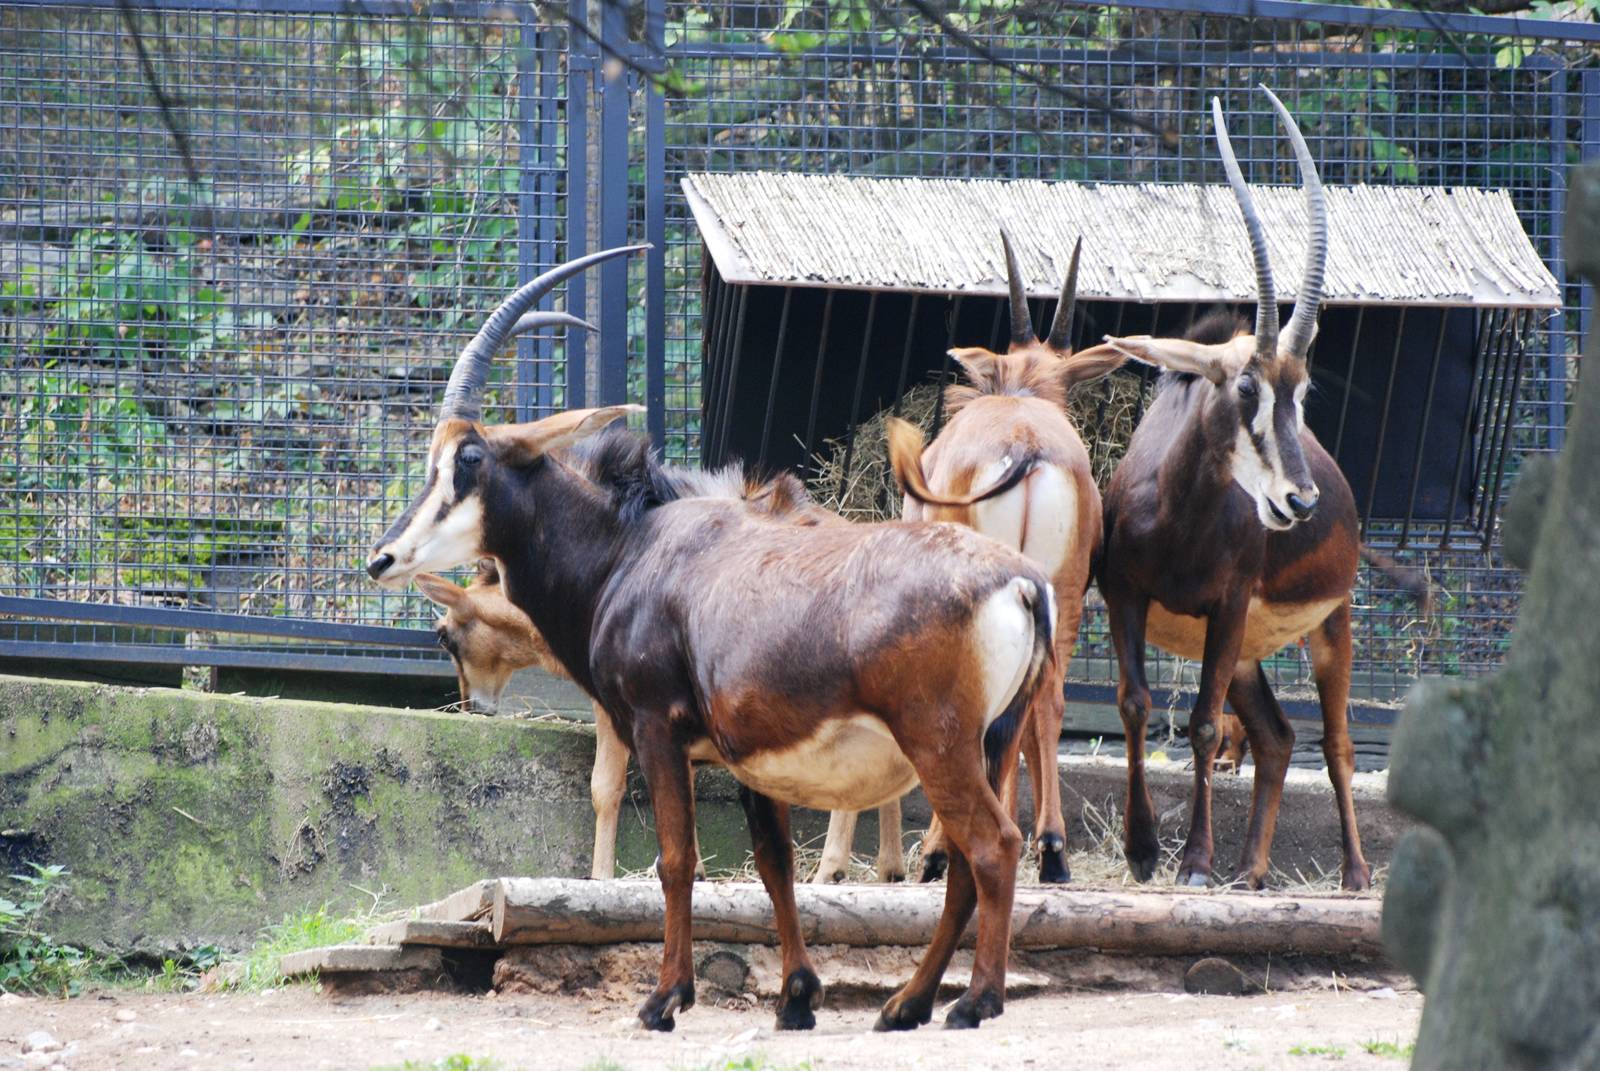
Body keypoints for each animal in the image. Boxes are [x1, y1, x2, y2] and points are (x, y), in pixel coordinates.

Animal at [367, 247, 1057, 1032]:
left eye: (470, 460)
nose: (382, 558)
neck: (628, 548)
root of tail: (1020, 582)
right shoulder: (751, 760)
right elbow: (773, 863)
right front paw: (797, 997)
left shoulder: (655, 726)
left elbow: (676, 858)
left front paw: (665, 997)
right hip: (992, 741)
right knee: (966, 864)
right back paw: (906, 1003)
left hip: (939, 742)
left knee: (993, 846)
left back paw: (974, 1000)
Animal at [1080, 87, 1375, 890]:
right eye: (1245, 385)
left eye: (1302, 389)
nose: (1299, 502)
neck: (1178, 519)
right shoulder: (1126, 594)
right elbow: (1135, 703)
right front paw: (1143, 848)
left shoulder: (1228, 603)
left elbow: (1205, 724)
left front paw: (1193, 862)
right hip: (1249, 651)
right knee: (1276, 737)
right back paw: (1252, 870)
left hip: (1325, 624)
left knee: (1334, 742)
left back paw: (1353, 874)